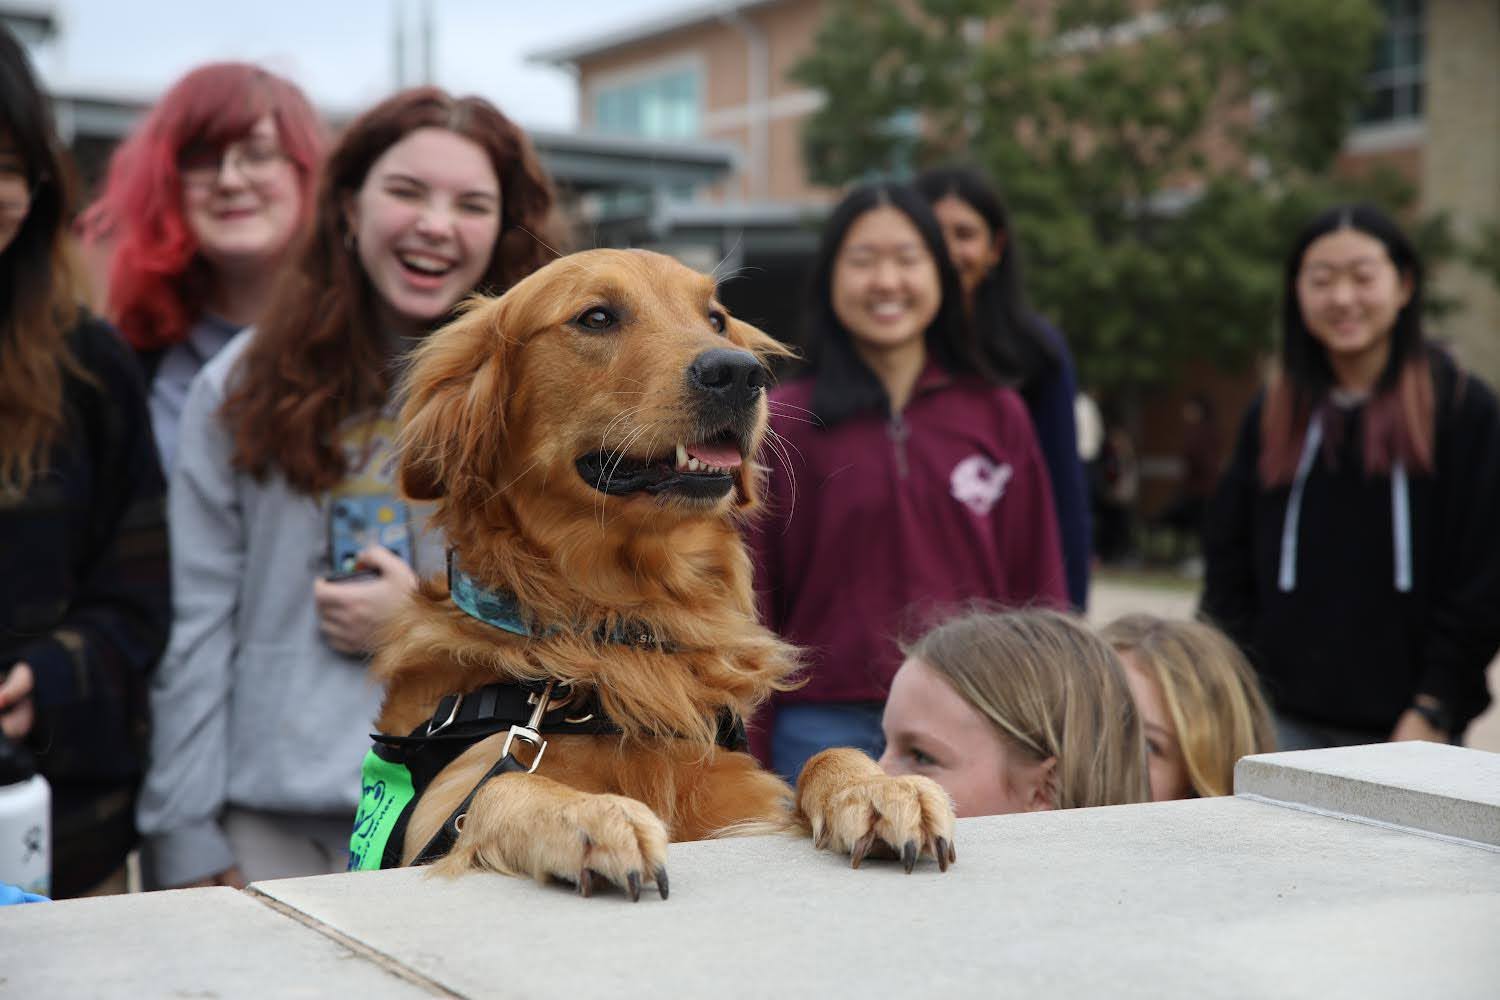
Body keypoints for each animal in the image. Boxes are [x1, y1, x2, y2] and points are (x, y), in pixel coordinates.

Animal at [373, 250, 954, 899]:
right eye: (597, 317)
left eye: (716, 319)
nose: (739, 373)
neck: (622, 625)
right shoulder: (439, 809)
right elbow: (503, 786)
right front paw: (590, 814)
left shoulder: (745, 801)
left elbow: (822, 756)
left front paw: (878, 788)